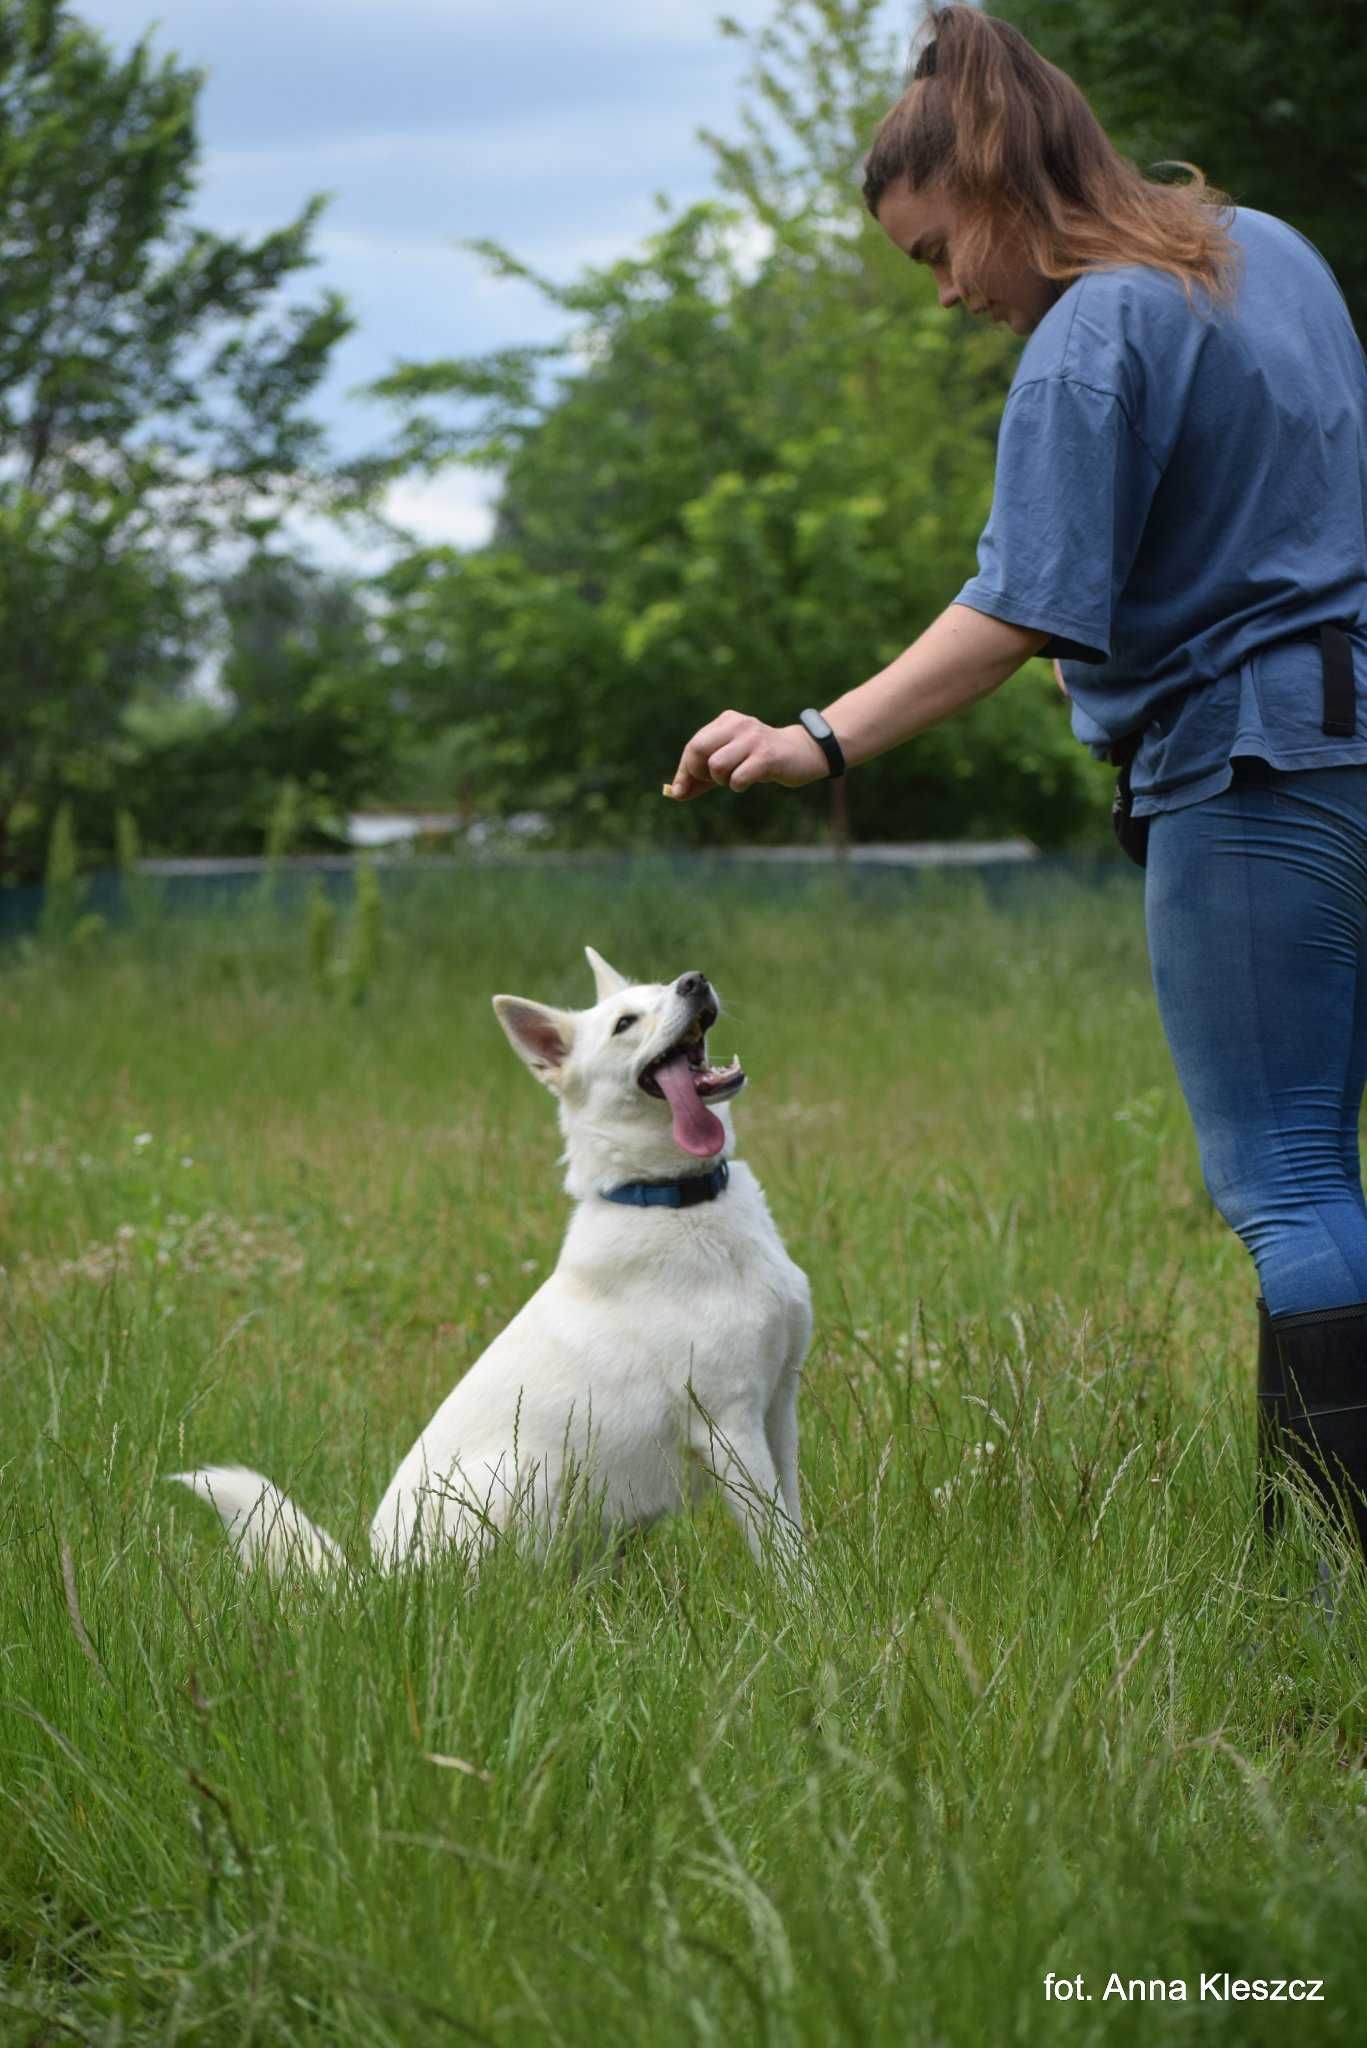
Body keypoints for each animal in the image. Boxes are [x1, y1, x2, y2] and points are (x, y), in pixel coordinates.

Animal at [171, 946, 811, 1581]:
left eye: (665, 987)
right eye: (624, 1023)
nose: (694, 981)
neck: (672, 1199)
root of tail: (375, 1581)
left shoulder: (778, 1409)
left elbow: (795, 1523)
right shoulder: (728, 1425)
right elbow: (779, 1543)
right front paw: (802, 1605)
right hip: (537, 1473)